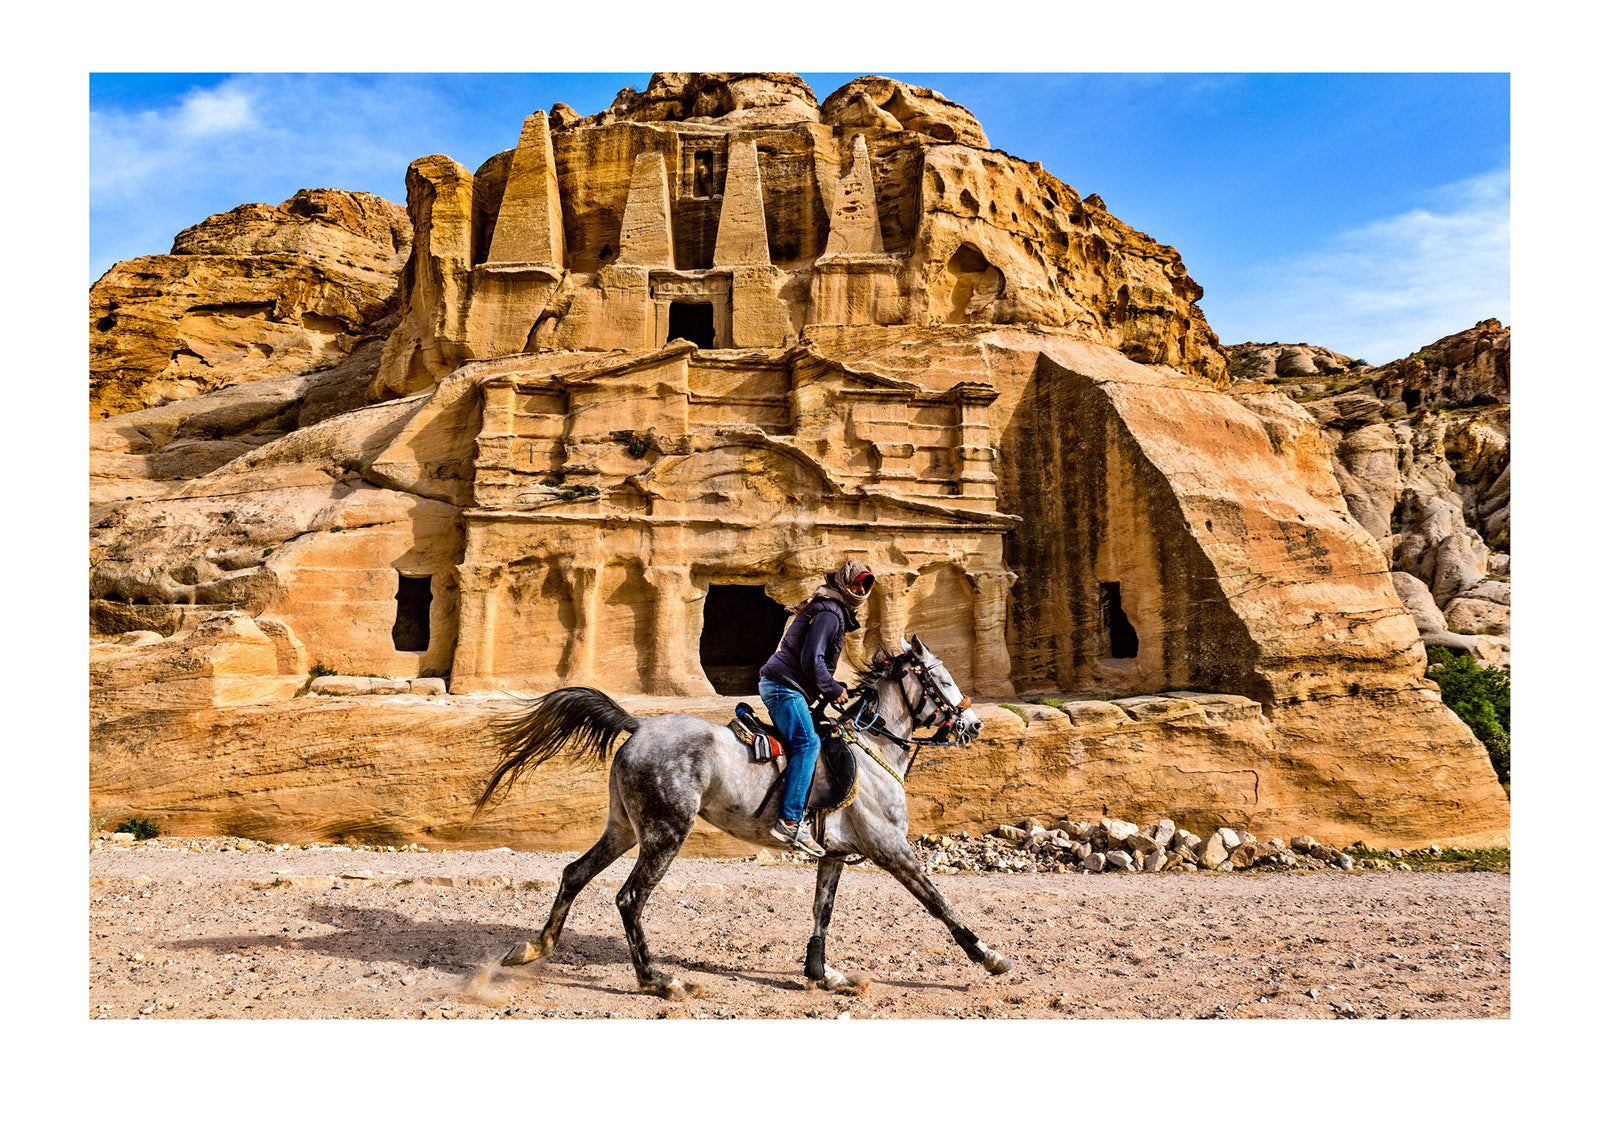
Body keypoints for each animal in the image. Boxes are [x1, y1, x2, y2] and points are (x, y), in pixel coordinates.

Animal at [467, 636, 1011, 998]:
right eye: (941, 677)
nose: (974, 724)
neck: (874, 748)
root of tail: (639, 725)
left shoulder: (835, 854)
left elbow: (822, 911)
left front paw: (822, 974)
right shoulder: (890, 849)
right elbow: (939, 903)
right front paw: (990, 957)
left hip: (624, 829)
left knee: (574, 874)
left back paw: (535, 949)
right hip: (666, 834)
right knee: (629, 897)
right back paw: (656, 980)